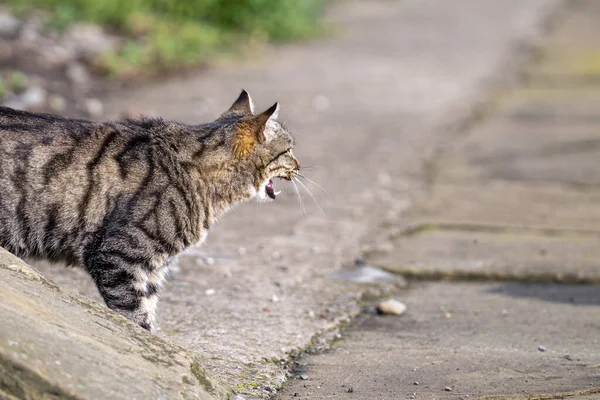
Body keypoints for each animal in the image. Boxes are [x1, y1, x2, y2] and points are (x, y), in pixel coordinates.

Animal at [0, 91, 300, 332]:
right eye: (289, 150)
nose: (299, 165)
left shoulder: (152, 269)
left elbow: (148, 305)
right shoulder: (116, 256)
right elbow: (133, 313)